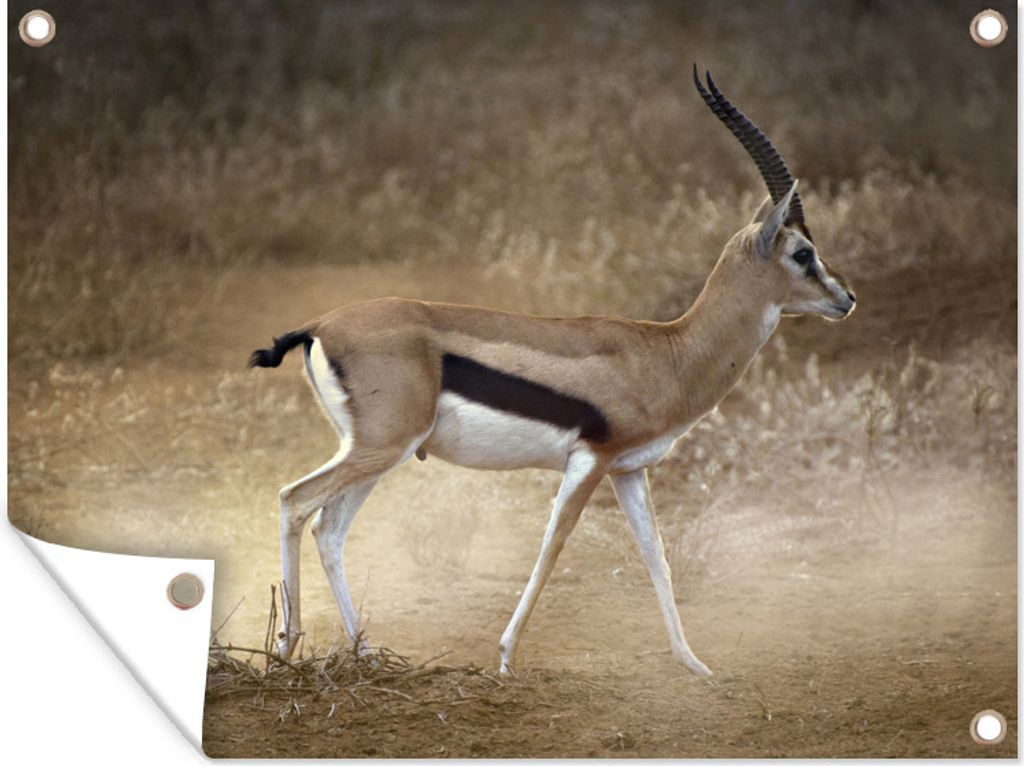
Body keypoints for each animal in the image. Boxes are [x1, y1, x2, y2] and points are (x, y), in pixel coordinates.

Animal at [248, 68, 855, 677]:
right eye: (803, 253)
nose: (846, 299)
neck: (667, 352)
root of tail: (318, 325)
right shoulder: (589, 461)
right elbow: (552, 548)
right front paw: (505, 659)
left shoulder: (629, 470)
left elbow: (655, 555)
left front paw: (693, 663)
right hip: (381, 447)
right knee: (295, 501)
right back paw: (287, 646)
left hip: (380, 452)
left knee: (329, 529)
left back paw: (365, 651)